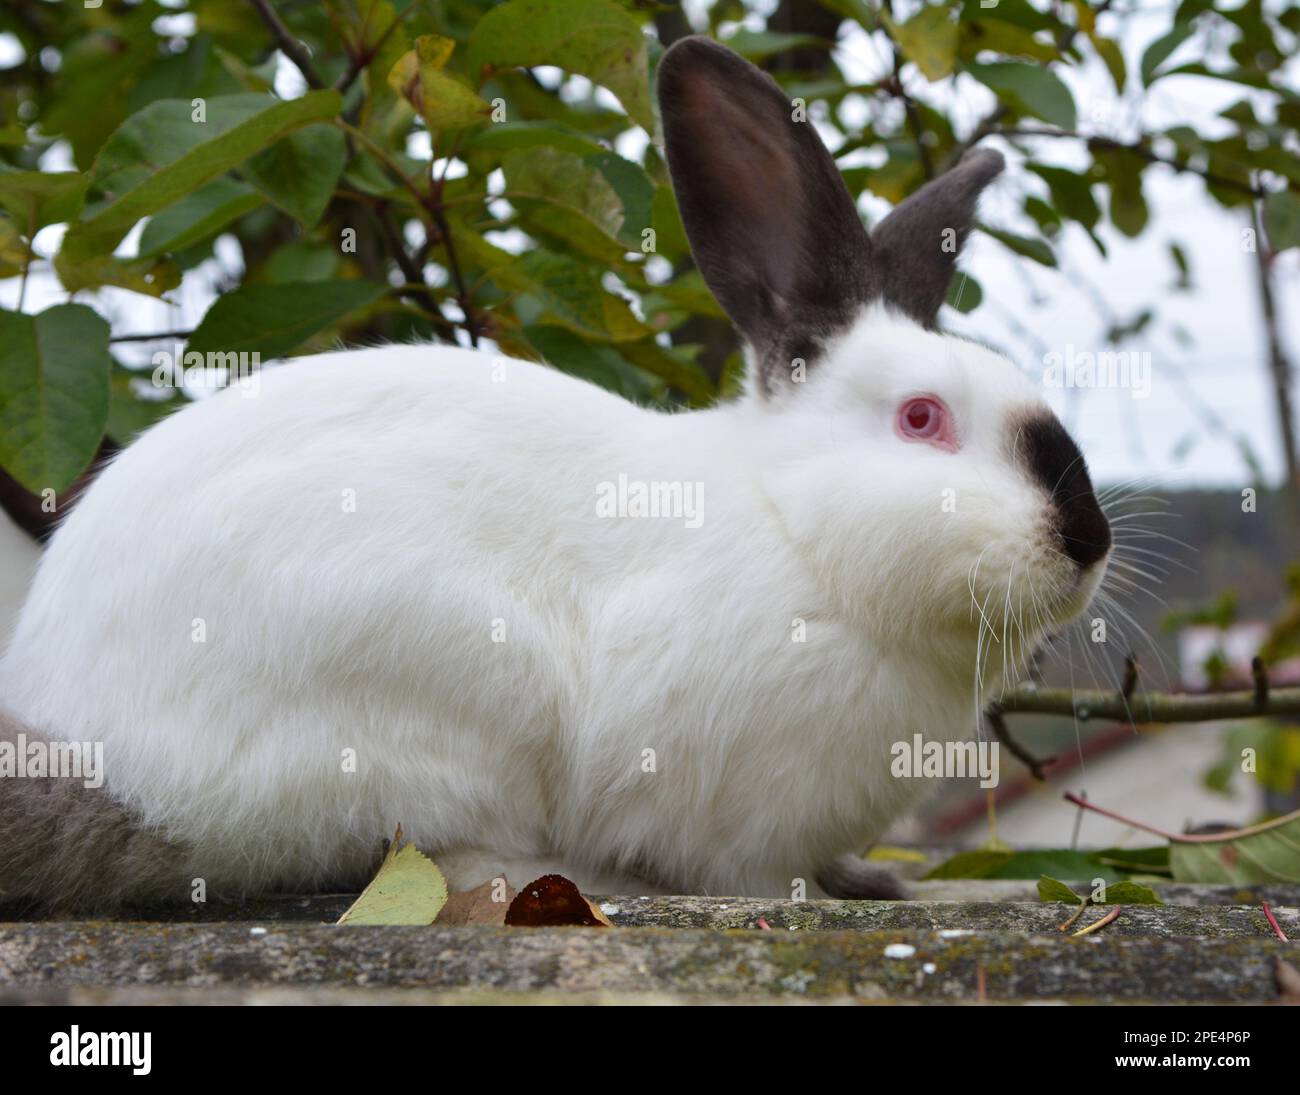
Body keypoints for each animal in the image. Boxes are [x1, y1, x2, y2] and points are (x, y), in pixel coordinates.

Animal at [0, 36, 1110, 910]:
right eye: (922, 419)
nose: (1087, 541)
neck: (798, 534)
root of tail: (115, 767)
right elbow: (746, 873)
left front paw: (869, 877)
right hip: (442, 705)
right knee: (424, 852)